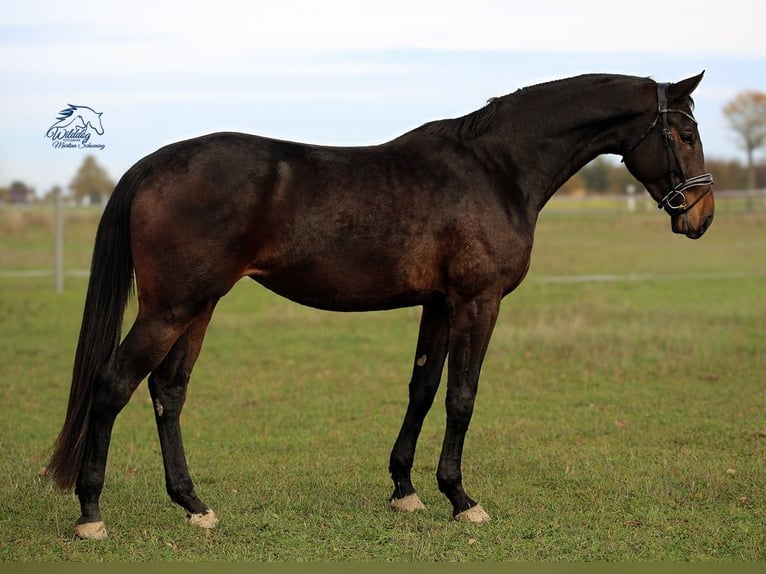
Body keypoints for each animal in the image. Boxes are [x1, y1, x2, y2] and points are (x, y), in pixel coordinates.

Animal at [48, 72, 715, 540]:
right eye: (683, 134)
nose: (702, 216)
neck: (496, 168)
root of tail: (152, 164)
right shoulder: (478, 303)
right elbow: (462, 396)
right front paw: (462, 500)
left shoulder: (439, 305)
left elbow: (422, 389)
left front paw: (405, 490)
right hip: (170, 308)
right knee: (113, 386)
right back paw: (91, 513)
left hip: (198, 305)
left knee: (168, 391)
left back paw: (194, 506)